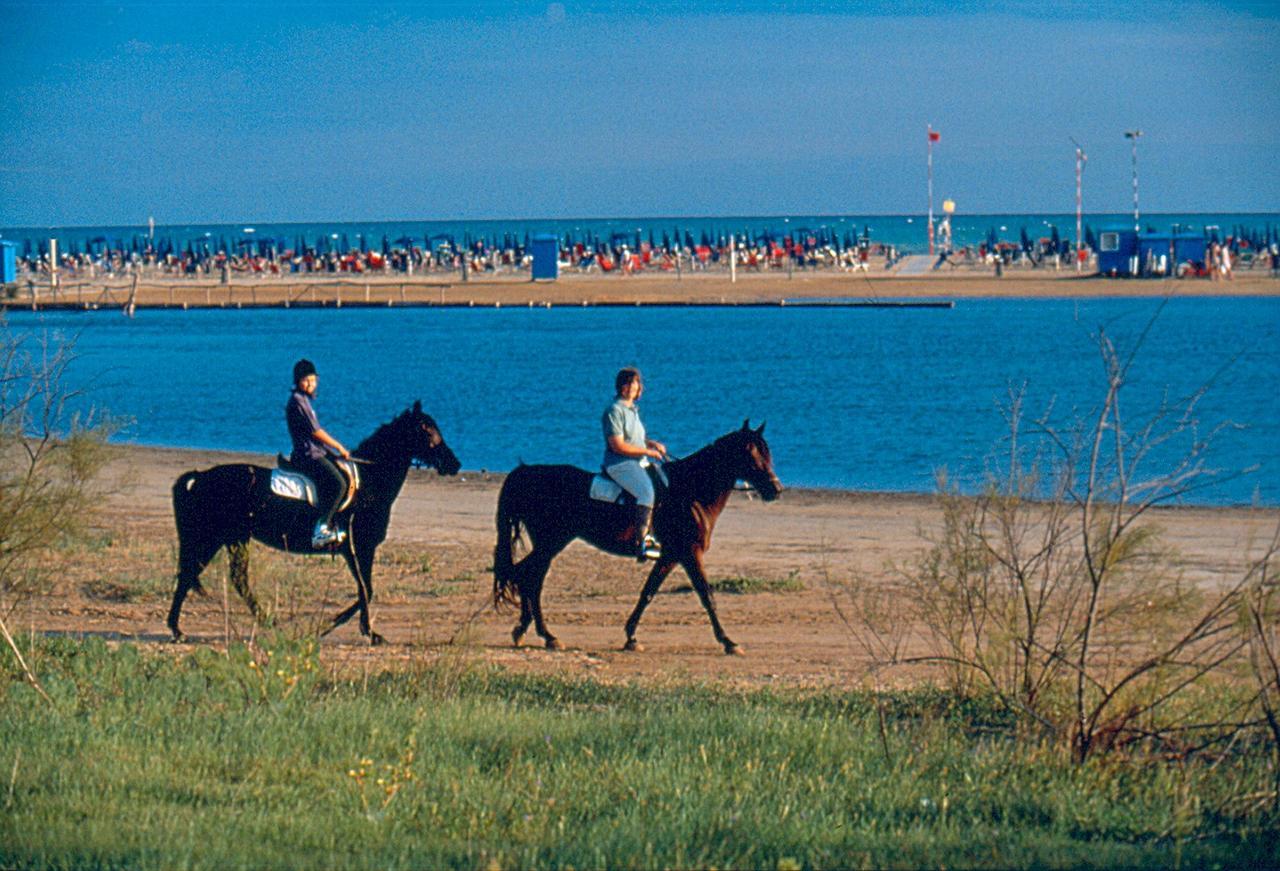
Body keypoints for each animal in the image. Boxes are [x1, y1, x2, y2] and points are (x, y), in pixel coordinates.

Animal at [167, 404, 460, 643]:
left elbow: (365, 590)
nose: (454, 464)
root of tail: (201, 477)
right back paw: (180, 630)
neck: (369, 482)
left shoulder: (355, 551)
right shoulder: (359, 548)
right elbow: (366, 590)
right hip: (216, 537)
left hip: (233, 538)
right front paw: (352, 628)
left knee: (227, 578)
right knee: (192, 574)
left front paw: (345, 626)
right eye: (426, 429)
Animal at [494, 420, 783, 653]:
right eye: (751, 453)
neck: (690, 492)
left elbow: (648, 592)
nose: (777, 489)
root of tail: (526, 472)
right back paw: (546, 635)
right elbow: (705, 594)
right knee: (530, 578)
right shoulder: (690, 553)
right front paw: (728, 642)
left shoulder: (670, 556)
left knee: (528, 576)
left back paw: (527, 631)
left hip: (549, 545)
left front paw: (631, 637)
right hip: (550, 543)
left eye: (767, 452)